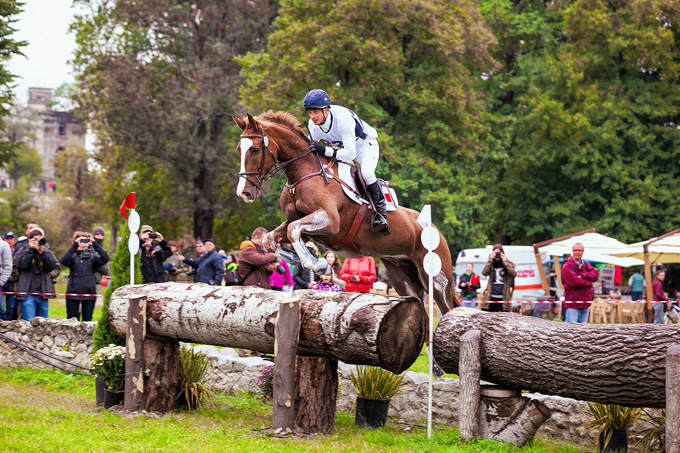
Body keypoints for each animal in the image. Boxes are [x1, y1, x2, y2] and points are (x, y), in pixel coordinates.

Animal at [232, 111, 459, 314]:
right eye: (239, 149)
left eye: (254, 149)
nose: (244, 192)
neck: (304, 173)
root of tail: (435, 229)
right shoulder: (295, 221)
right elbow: (271, 239)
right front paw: (297, 258)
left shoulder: (330, 222)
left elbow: (293, 231)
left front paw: (320, 265)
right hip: (401, 276)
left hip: (436, 277)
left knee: (447, 307)